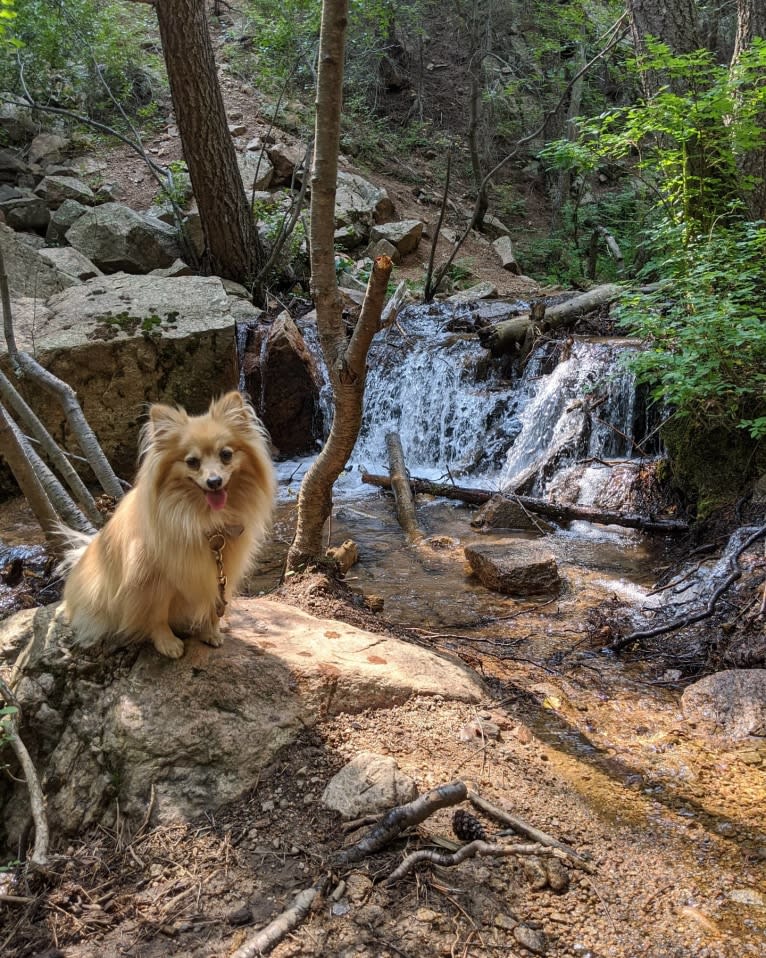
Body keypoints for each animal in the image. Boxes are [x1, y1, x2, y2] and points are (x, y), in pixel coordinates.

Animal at [60, 392, 278, 660]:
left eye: (226, 455)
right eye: (192, 462)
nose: (214, 481)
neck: (204, 520)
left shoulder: (218, 572)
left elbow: (212, 603)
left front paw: (210, 631)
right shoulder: (153, 581)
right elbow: (157, 615)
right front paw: (167, 642)